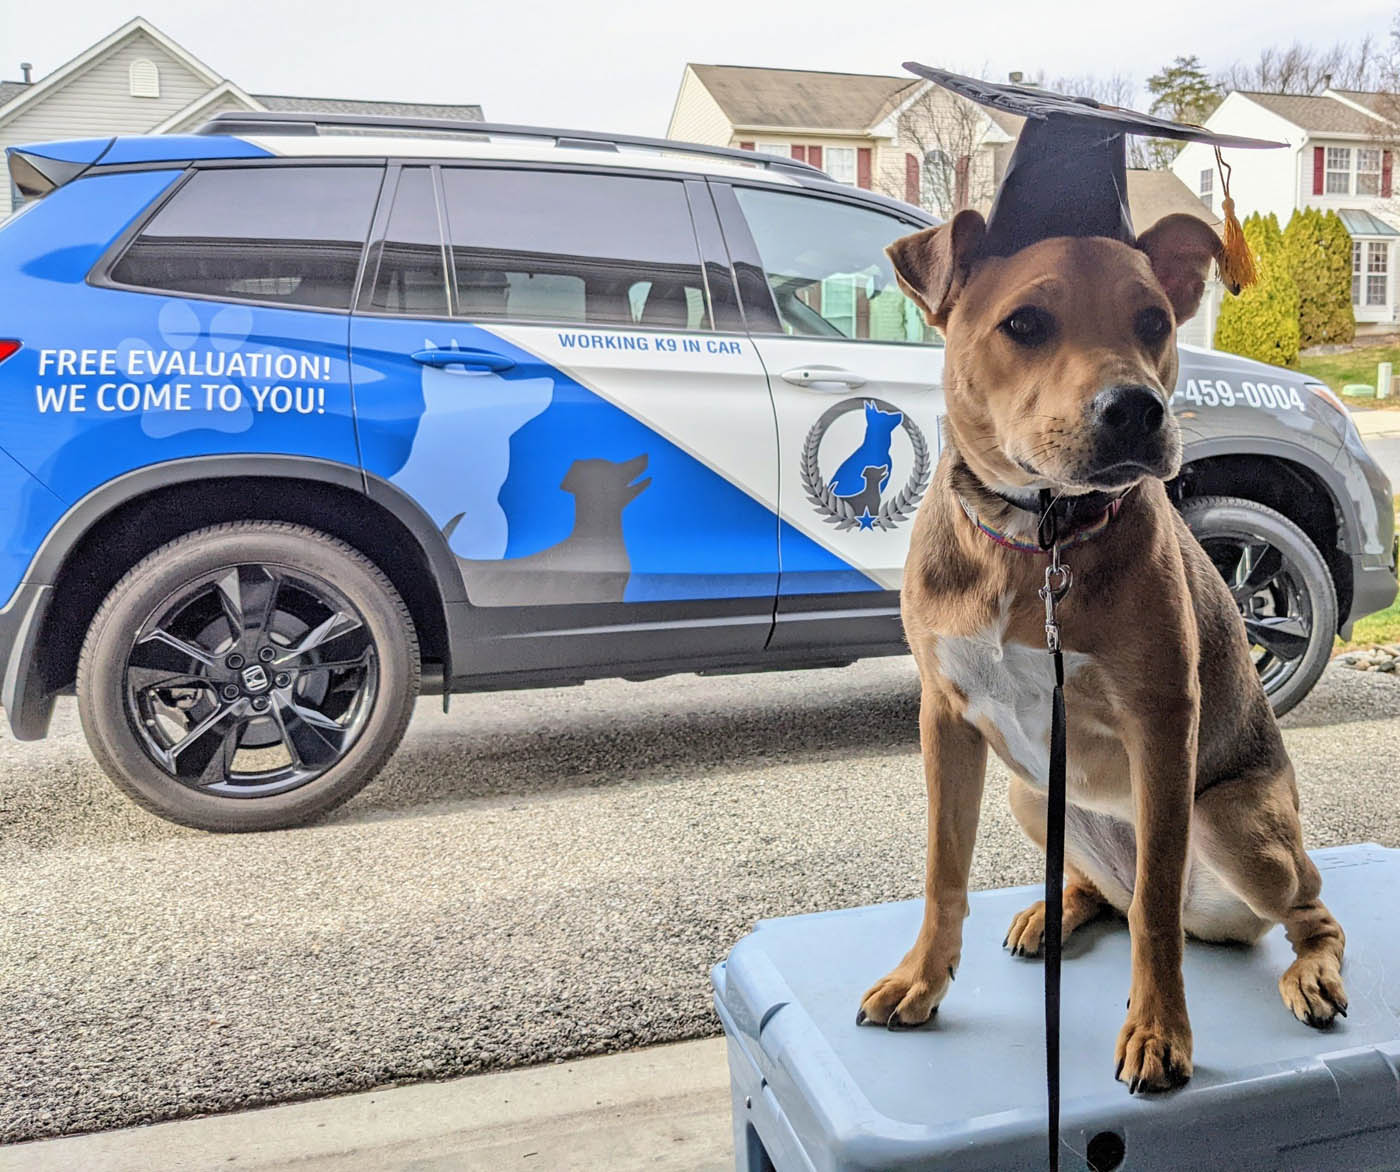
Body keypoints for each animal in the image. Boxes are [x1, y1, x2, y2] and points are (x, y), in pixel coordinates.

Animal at [851, 205, 1344, 1092]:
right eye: (1024, 324)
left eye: (1153, 322)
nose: (1137, 410)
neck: (1036, 539)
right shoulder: (946, 717)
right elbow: (944, 871)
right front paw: (922, 979)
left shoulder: (1161, 722)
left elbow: (1153, 908)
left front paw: (1159, 1030)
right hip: (1028, 792)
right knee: (1106, 888)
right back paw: (1061, 907)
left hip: (1233, 821)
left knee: (1297, 909)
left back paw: (1313, 970)